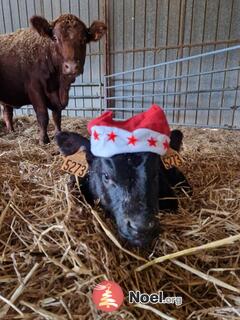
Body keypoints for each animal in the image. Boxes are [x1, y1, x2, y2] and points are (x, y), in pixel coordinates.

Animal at [0, 14, 106, 142]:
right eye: (55, 38)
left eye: (84, 39)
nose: (72, 66)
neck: (58, 83)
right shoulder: (34, 88)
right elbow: (43, 115)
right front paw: (43, 139)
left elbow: (57, 116)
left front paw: (58, 133)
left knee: (7, 113)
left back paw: (11, 131)